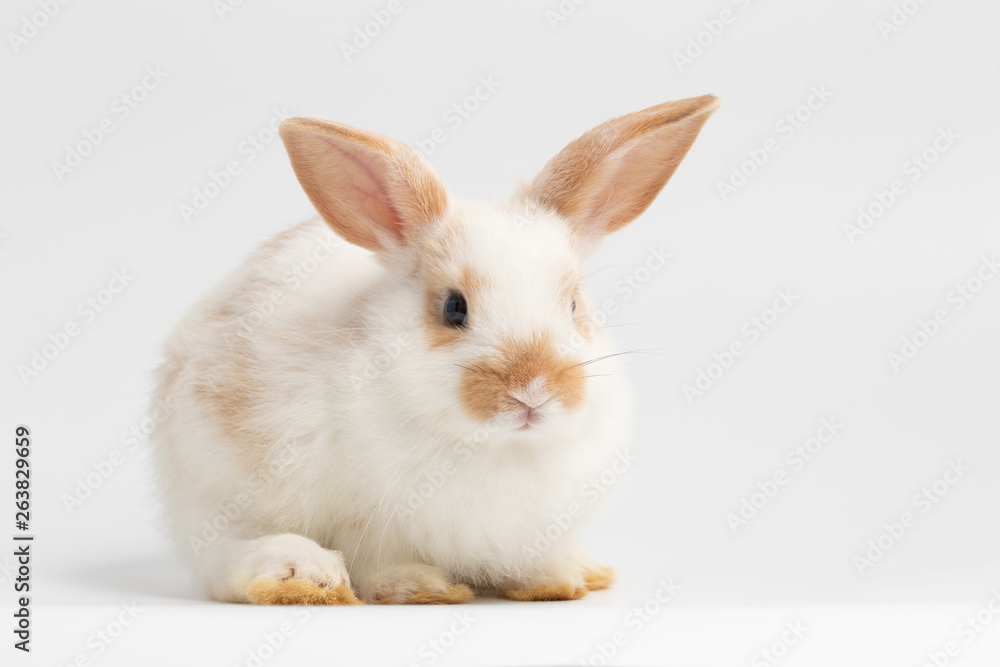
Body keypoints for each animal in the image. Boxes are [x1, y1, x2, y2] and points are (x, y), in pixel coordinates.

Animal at [150, 95, 720, 604]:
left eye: (574, 304)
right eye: (453, 308)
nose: (532, 392)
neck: (497, 448)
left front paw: (554, 579)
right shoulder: (367, 518)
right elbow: (378, 558)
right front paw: (419, 587)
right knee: (221, 558)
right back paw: (299, 576)